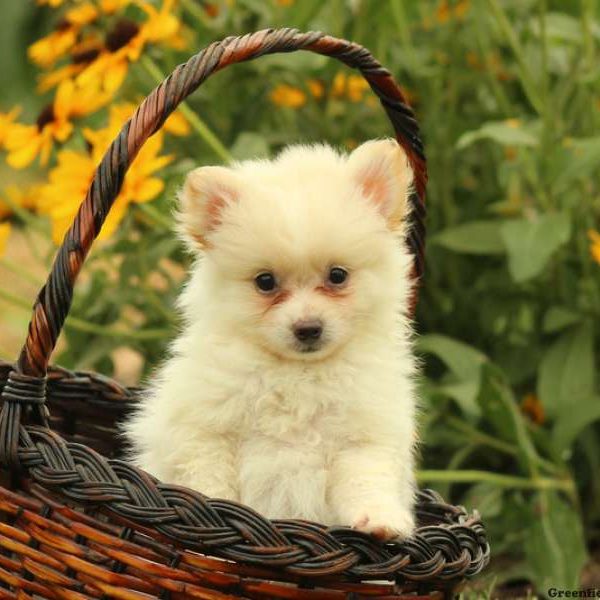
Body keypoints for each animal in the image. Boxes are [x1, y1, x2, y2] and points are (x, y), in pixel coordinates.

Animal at [125, 139, 418, 540]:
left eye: (338, 275)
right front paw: (209, 517)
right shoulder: (203, 432)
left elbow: (367, 481)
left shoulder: (364, 439)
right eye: (265, 282)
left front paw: (381, 519)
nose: (308, 328)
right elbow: (209, 481)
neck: (297, 374)